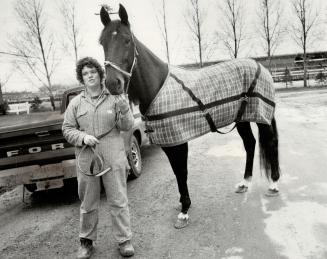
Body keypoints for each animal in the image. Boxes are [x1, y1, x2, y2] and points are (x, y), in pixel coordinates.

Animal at [98, 4, 280, 230]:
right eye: (102, 42)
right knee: (250, 144)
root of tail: (260, 66)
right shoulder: (168, 142)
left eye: (127, 40)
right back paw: (244, 182)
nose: (112, 84)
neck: (158, 87)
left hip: (261, 117)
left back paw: (274, 184)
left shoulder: (179, 141)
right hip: (242, 119)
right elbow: (177, 172)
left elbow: (182, 172)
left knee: (270, 143)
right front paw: (183, 204)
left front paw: (184, 211)